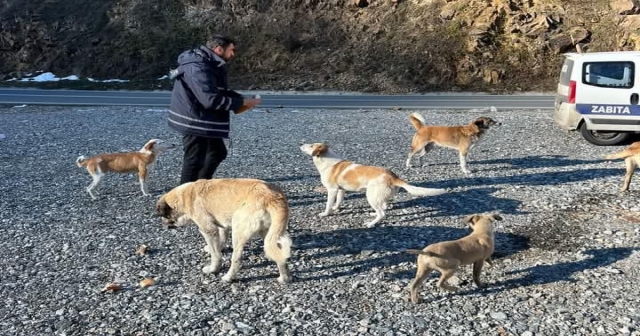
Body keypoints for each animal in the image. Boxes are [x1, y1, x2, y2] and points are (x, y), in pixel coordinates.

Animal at [156, 178, 292, 284]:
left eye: (162, 215)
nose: (163, 225)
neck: (185, 196)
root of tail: (272, 197)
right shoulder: (222, 226)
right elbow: (221, 240)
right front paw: (219, 248)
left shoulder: (208, 230)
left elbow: (216, 255)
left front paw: (213, 269)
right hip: (270, 234)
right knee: (280, 255)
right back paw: (284, 278)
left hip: (238, 230)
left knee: (236, 259)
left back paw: (228, 277)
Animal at [298, 142, 444, 228]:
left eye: (311, 146)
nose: (300, 144)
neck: (326, 160)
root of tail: (393, 176)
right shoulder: (340, 190)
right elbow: (338, 202)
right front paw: (336, 208)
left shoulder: (332, 190)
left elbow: (328, 204)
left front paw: (326, 213)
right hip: (379, 196)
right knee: (383, 207)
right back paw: (373, 214)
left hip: (371, 196)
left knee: (382, 213)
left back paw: (371, 223)